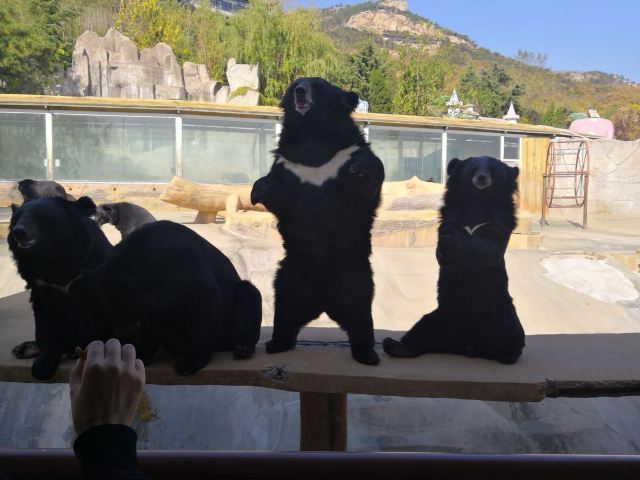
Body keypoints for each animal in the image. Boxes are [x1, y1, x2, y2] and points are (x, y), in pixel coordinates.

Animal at [8, 196, 113, 379]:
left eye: (40, 216)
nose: (18, 232)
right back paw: (26, 349)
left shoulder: (90, 275)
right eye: (16, 219)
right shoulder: (41, 285)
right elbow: (47, 321)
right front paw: (42, 365)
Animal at [95, 220, 262, 375]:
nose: (120, 333)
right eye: (110, 309)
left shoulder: (193, 281)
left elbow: (205, 319)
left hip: (241, 300)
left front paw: (189, 363)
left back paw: (243, 347)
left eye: (135, 320)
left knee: (248, 296)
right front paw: (141, 355)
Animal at [250, 77, 385, 365]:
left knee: (360, 315)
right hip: (289, 279)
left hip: (355, 278)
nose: (300, 92)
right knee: (285, 311)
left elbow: (367, 178)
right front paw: (259, 190)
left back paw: (367, 353)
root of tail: (322, 301)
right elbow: (281, 195)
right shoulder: (289, 164)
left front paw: (360, 168)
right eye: (294, 85)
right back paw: (277, 343)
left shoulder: (344, 155)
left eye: (317, 86)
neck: (312, 132)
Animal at [383, 156, 525, 364]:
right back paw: (395, 345)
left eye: (492, 170)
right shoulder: (449, 219)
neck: (478, 201)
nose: (481, 178)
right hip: (440, 318)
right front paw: (451, 242)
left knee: (510, 333)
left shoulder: (499, 222)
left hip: (501, 312)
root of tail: (467, 347)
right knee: (421, 331)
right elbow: (445, 246)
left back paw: (507, 355)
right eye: (474, 169)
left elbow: (489, 246)